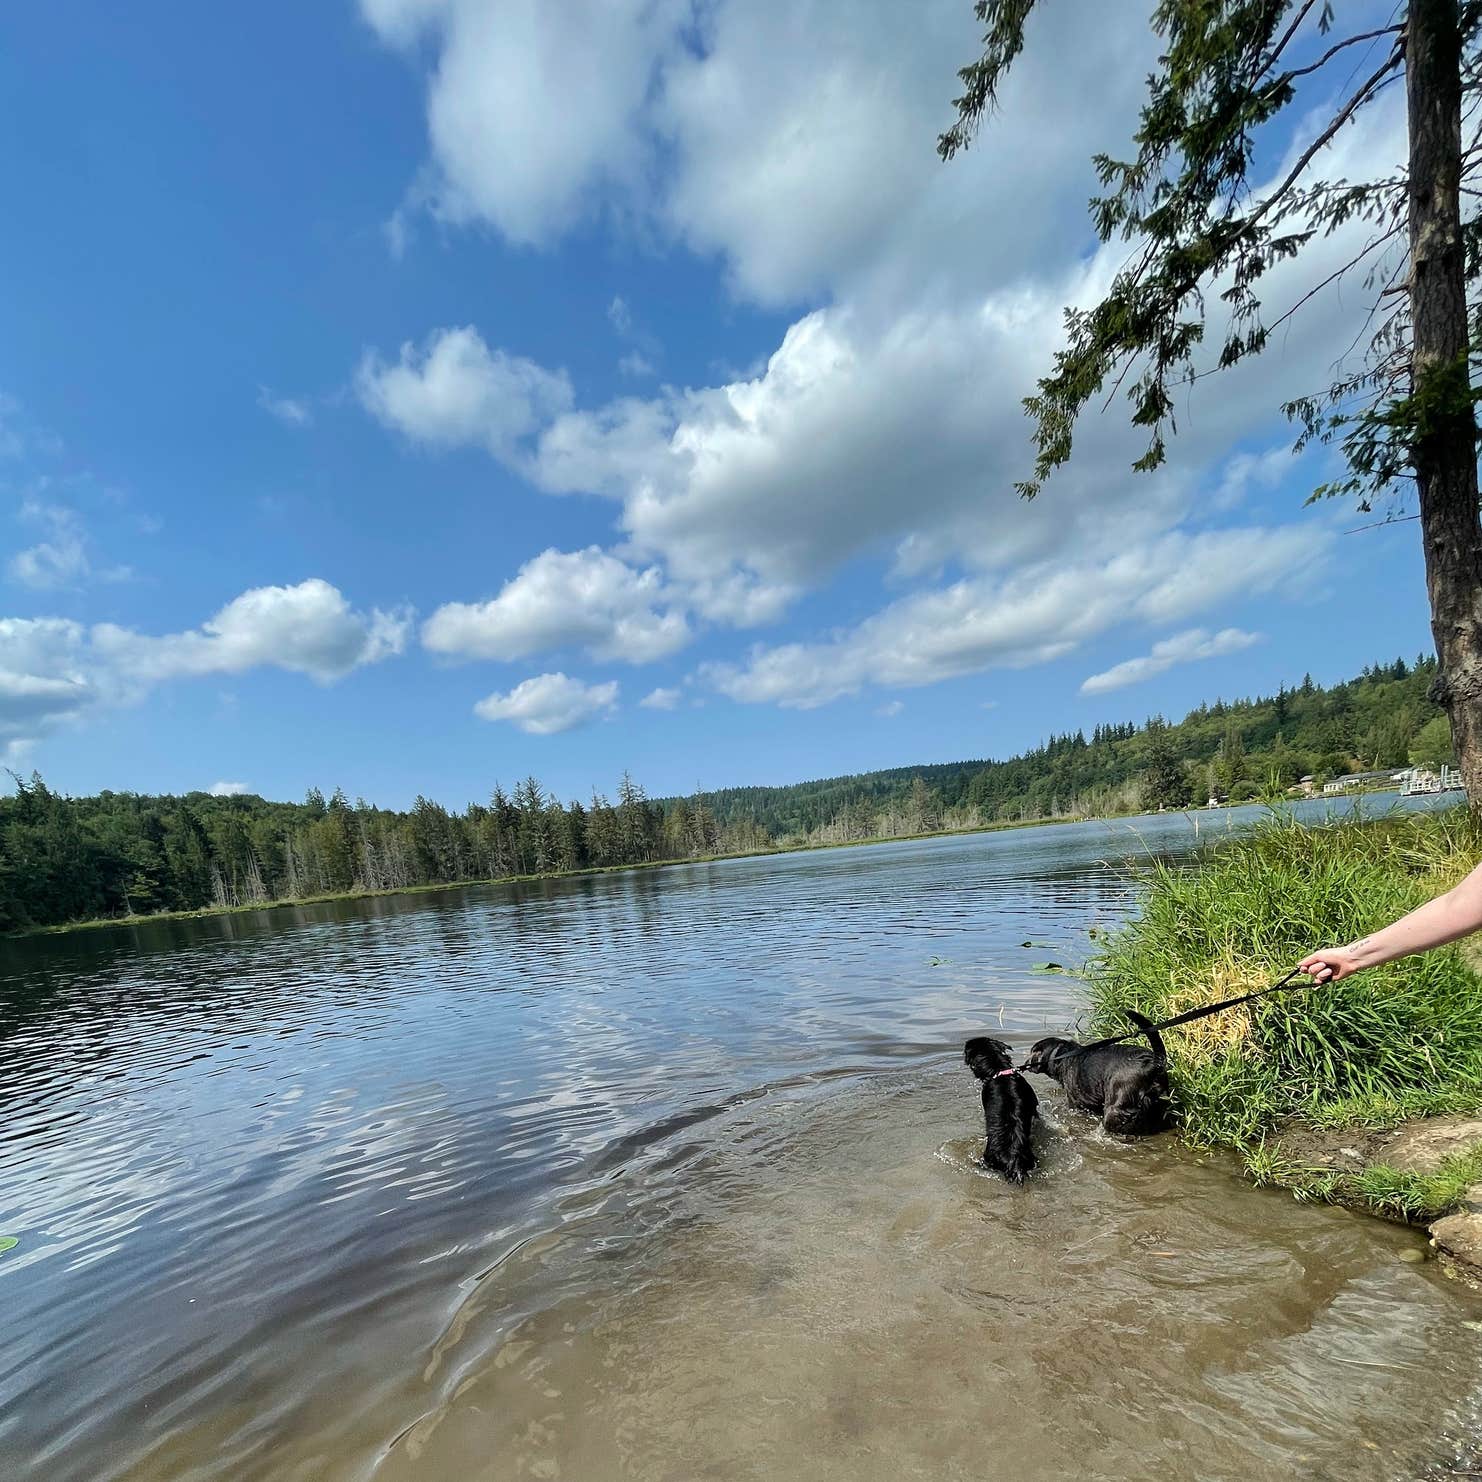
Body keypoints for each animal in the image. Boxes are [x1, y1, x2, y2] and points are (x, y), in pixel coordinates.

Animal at [1019, 1013, 1167, 1138]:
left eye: (1033, 1052)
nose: (1025, 1063)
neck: (1061, 1055)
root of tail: (1153, 1062)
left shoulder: (1074, 1102)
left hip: (1115, 1107)